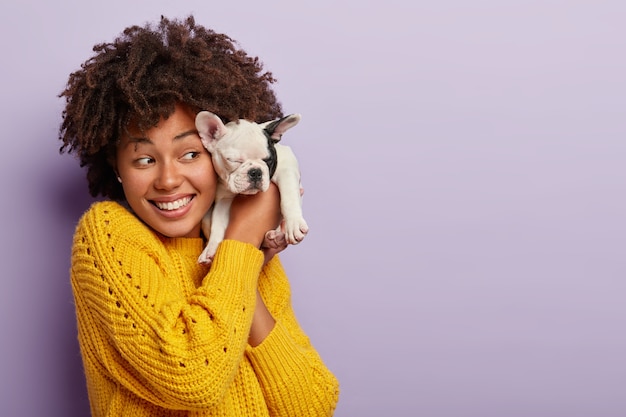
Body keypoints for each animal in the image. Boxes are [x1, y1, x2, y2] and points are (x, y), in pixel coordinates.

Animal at [193, 110, 304, 264]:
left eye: (268, 160)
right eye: (233, 160)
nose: (255, 172)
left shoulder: (286, 167)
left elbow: (289, 196)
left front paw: (294, 224)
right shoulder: (223, 199)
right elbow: (218, 224)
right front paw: (211, 248)